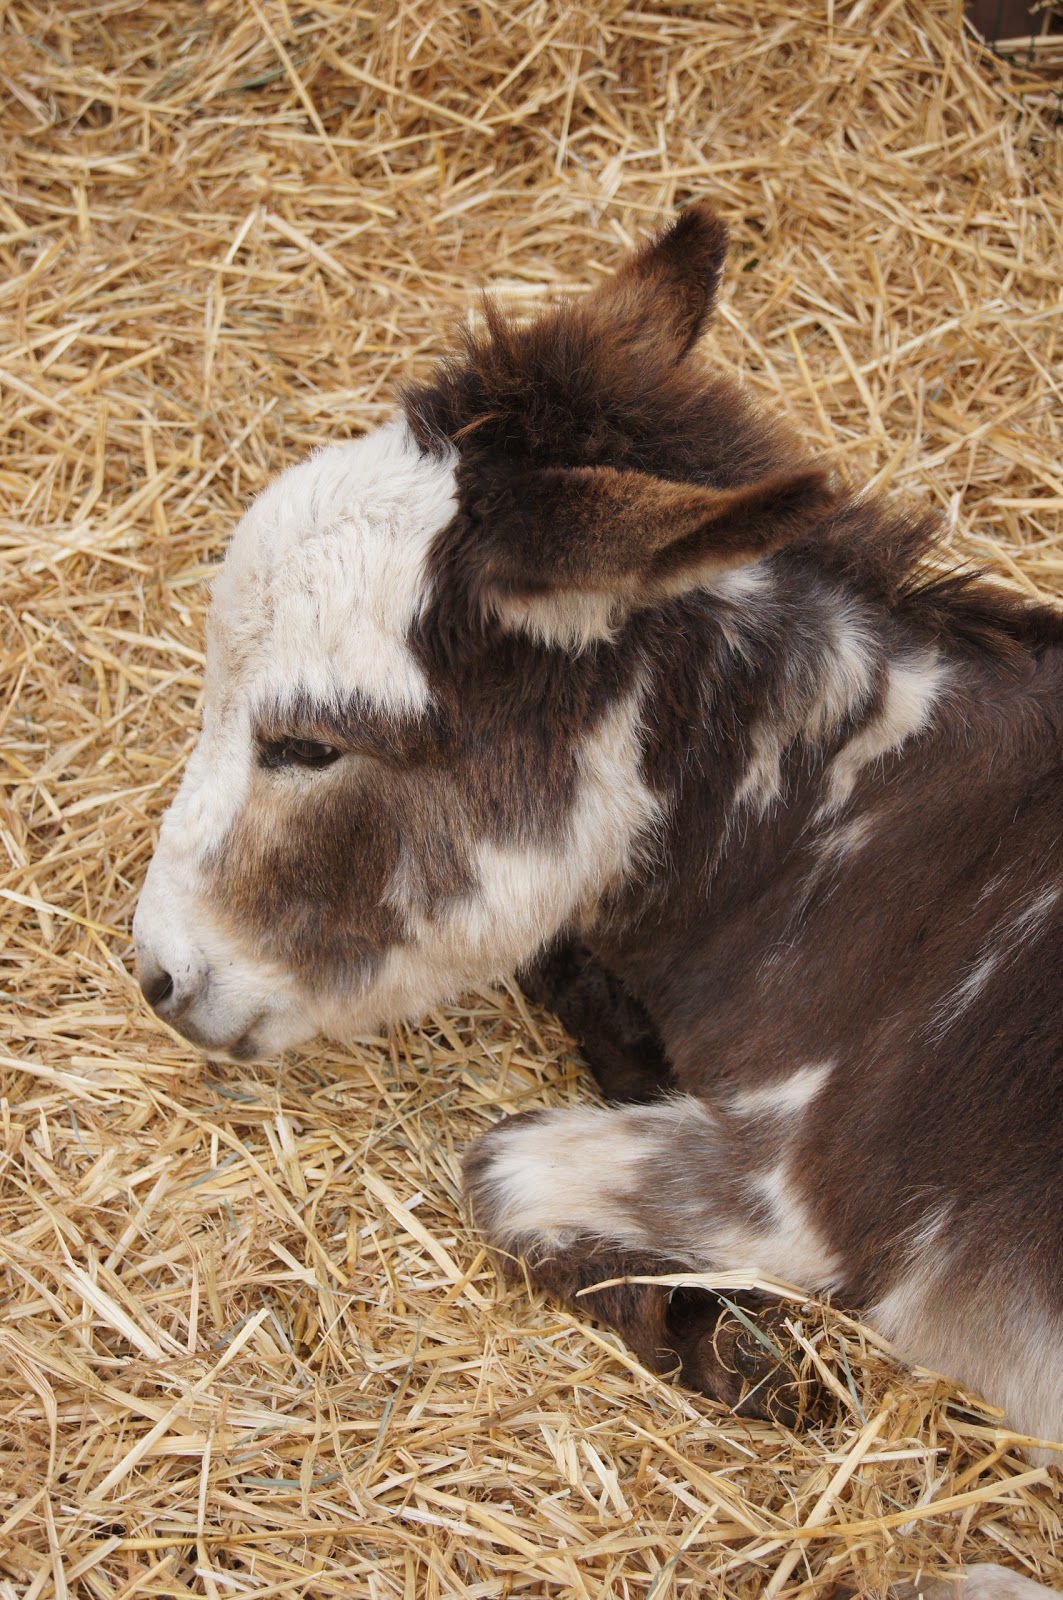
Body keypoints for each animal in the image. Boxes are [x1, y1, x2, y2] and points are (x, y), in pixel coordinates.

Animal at [134, 205, 1062, 1597]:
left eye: (305, 744)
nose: (156, 975)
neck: (885, 838)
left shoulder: (803, 1190)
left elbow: (500, 1169)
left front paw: (713, 1335)